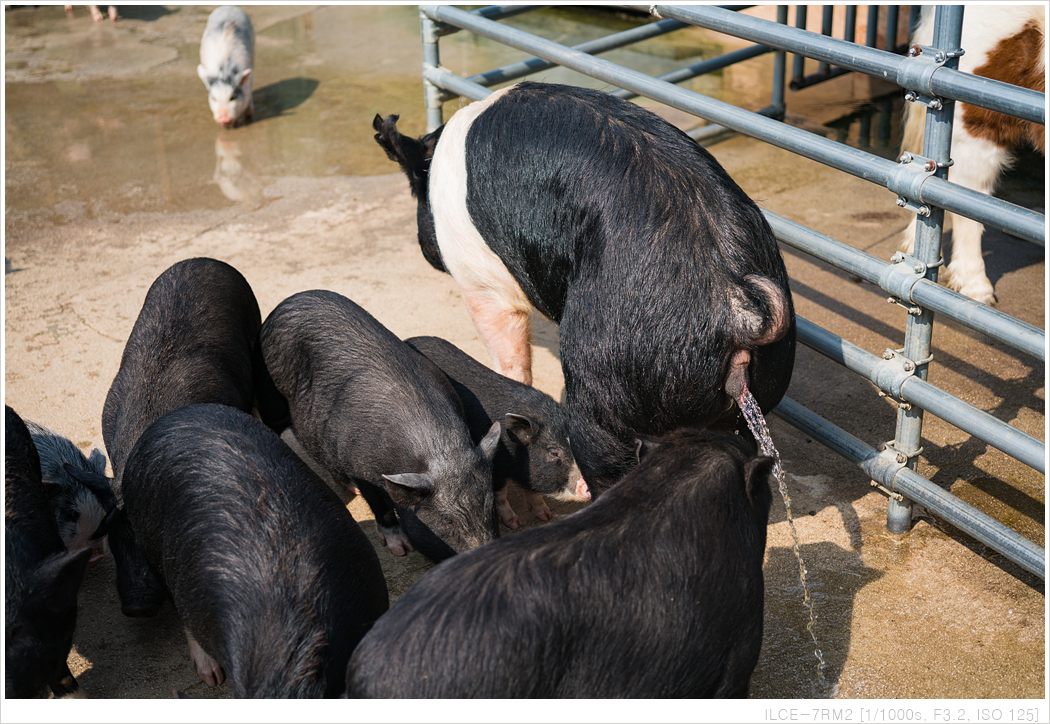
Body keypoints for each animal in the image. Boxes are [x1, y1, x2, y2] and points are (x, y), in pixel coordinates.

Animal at [254, 289, 501, 560]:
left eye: (491, 508)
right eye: (448, 521)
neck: (440, 449)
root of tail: (291, 299)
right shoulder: (357, 463)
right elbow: (378, 505)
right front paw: (401, 549)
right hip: (271, 393)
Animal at [404, 335, 586, 528]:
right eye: (553, 452)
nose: (585, 484)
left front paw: (546, 515)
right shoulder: (495, 466)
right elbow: (500, 495)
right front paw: (514, 524)